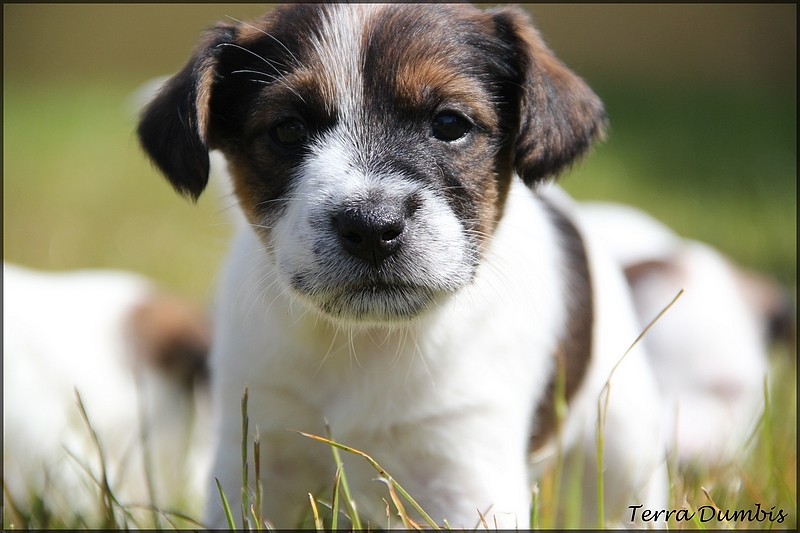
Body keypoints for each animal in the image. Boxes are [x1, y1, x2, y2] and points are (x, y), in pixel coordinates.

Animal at [139, 3, 668, 528]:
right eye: (288, 130)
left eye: (451, 123)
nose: (372, 228)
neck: (368, 344)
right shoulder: (258, 454)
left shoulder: (466, 472)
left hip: (622, 442)